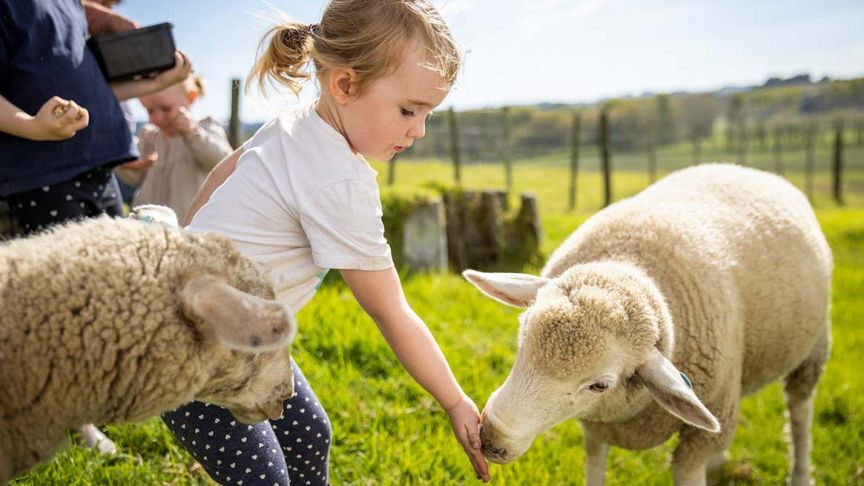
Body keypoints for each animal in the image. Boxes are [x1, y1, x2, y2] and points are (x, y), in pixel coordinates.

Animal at [466, 164, 832, 486]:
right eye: (522, 341)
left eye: (599, 384)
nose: (491, 438)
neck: (629, 261)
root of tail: (748, 169)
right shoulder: (597, 426)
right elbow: (594, 463)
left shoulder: (698, 440)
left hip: (814, 348)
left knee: (800, 412)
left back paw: (801, 474)